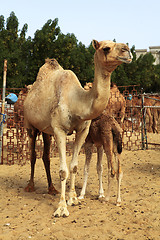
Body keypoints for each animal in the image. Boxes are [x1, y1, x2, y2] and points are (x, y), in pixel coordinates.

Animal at [23, 39, 131, 218]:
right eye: (106, 48)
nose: (127, 51)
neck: (76, 101)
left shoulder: (83, 131)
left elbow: (74, 167)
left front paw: (73, 199)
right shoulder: (59, 130)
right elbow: (63, 170)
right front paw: (61, 208)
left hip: (46, 131)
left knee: (45, 156)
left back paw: (52, 189)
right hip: (29, 125)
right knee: (32, 154)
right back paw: (30, 186)